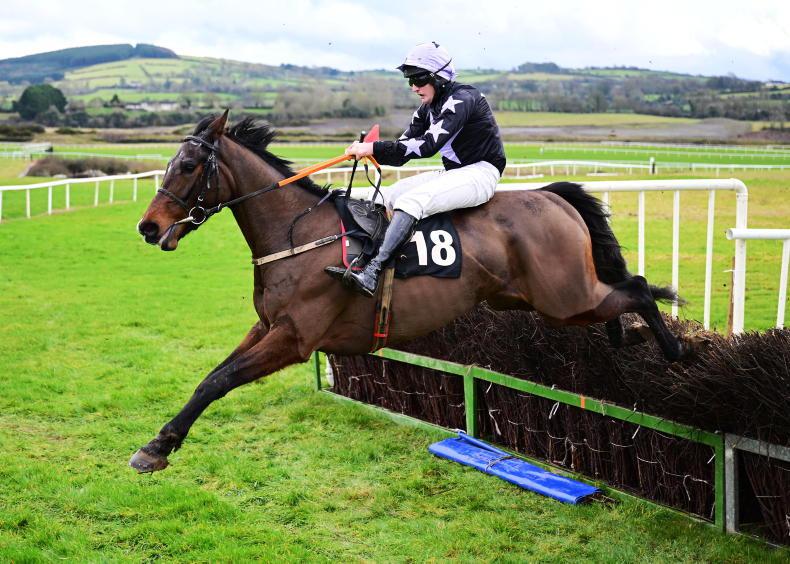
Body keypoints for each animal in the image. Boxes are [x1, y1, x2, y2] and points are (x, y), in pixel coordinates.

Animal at [130, 110, 691, 473]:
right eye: (170, 163)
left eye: (188, 166)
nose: (147, 227)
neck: (297, 233)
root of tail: (552, 197)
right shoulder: (266, 326)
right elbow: (210, 378)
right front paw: (160, 443)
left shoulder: (293, 339)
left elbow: (221, 381)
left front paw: (157, 448)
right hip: (545, 298)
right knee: (617, 297)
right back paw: (625, 338)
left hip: (562, 297)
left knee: (637, 289)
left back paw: (672, 350)